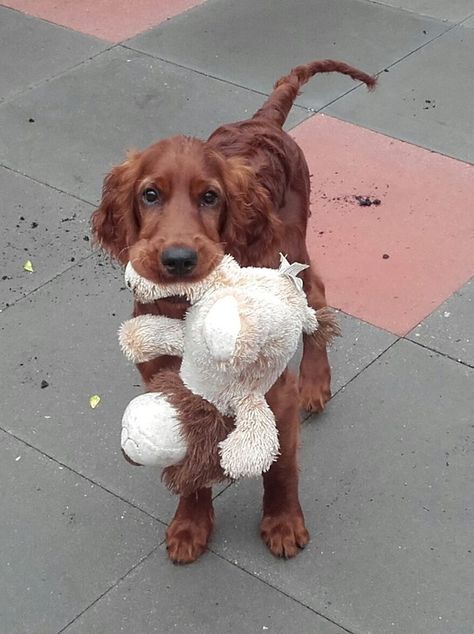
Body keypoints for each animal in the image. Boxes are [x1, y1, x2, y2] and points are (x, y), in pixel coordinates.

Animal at [92, 60, 374, 564]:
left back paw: (316, 381)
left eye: (210, 197)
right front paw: (190, 523)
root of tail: (261, 121)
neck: (188, 308)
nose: (179, 259)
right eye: (149, 195)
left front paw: (283, 523)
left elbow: (281, 465)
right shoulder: (169, 385)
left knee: (314, 298)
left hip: (289, 244)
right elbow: (187, 452)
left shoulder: (275, 389)